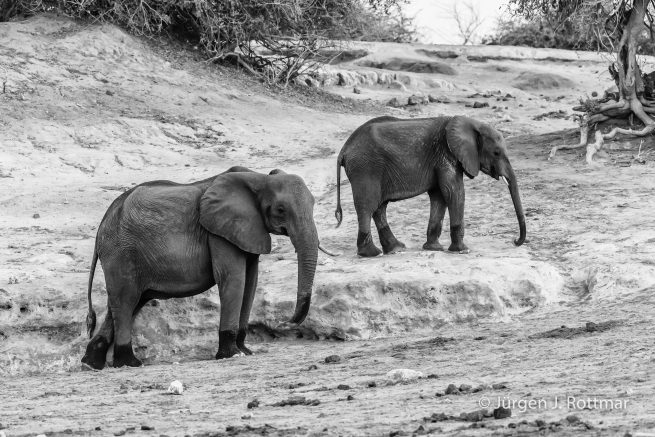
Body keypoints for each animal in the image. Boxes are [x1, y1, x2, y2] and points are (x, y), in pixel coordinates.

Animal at [81, 166, 330, 370]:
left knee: (127, 302)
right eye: (280, 210)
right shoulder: (218, 232)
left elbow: (251, 281)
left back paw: (91, 364)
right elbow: (233, 277)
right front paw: (231, 354)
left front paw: (245, 351)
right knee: (126, 300)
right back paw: (129, 363)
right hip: (121, 252)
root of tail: (101, 226)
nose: (286, 322)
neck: (258, 179)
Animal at [334, 115, 526, 257]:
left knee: (379, 207)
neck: (471, 122)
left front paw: (434, 248)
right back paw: (372, 253)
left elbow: (440, 196)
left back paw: (396, 249)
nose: (514, 241)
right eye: (496, 153)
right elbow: (454, 192)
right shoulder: (445, 155)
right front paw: (462, 250)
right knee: (368, 205)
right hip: (365, 167)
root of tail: (344, 149)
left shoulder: (440, 159)